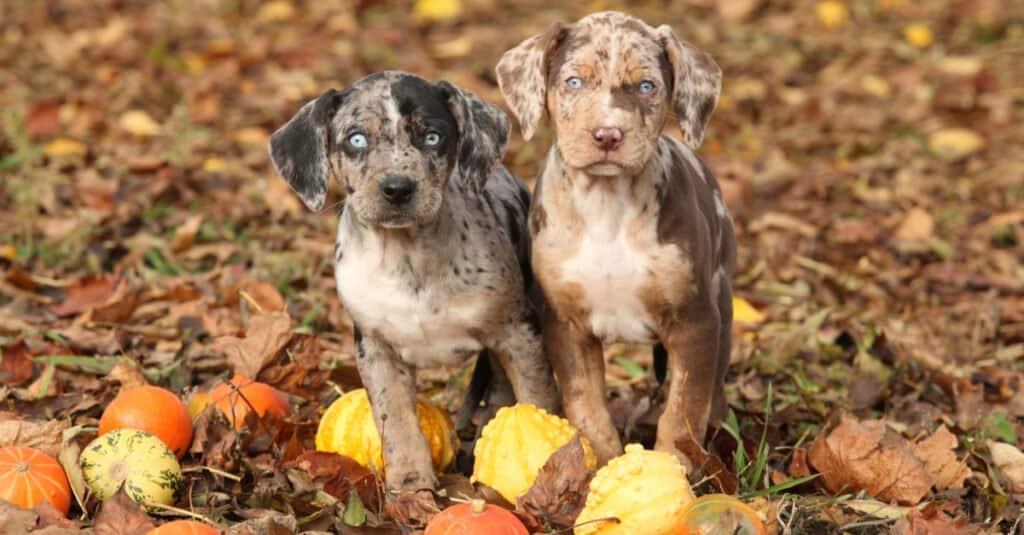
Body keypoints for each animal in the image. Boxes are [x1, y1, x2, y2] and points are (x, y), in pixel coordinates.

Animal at [497, 10, 733, 463]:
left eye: (646, 86)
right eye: (573, 82)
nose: (608, 135)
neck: (607, 207)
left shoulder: (695, 320)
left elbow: (684, 411)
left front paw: (673, 467)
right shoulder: (565, 324)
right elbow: (585, 406)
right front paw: (599, 464)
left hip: (723, 301)